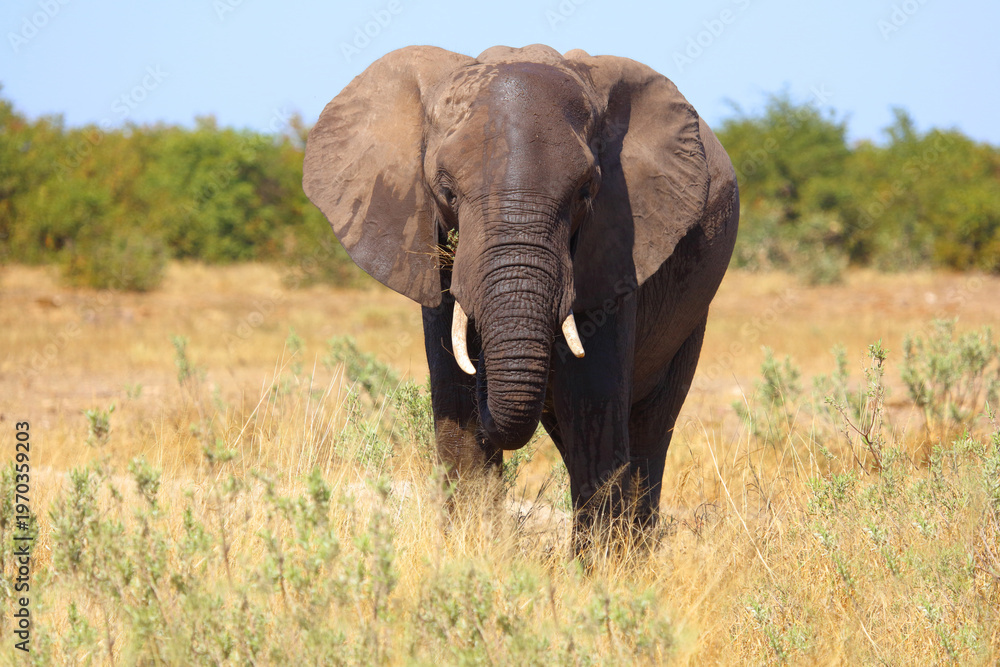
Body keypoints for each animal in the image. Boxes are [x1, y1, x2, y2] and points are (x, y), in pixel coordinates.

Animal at [303, 44, 738, 547]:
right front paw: (472, 551)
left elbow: (592, 405)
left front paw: (601, 566)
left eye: (586, 191)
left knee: (649, 427)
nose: (485, 371)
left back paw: (638, 548)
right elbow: (456, 404)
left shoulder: (617, 246)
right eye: (446, 191)